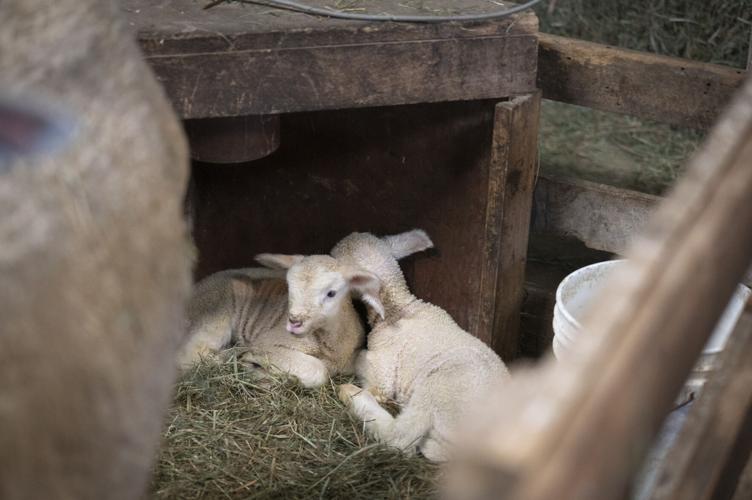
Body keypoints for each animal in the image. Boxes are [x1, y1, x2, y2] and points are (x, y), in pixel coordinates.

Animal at [178, 253, 376, 388]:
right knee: (189, 357)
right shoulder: (269, 343)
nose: (294, 321)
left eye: (331, 293)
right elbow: (318, 371)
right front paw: (254, 364)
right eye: (289, 288)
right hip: (213, 315)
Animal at [332, 230, 510, 461]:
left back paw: (350, 393)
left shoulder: (383, 372)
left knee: (400, 439)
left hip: (439, 386)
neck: (398, 308)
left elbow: (367, 368)